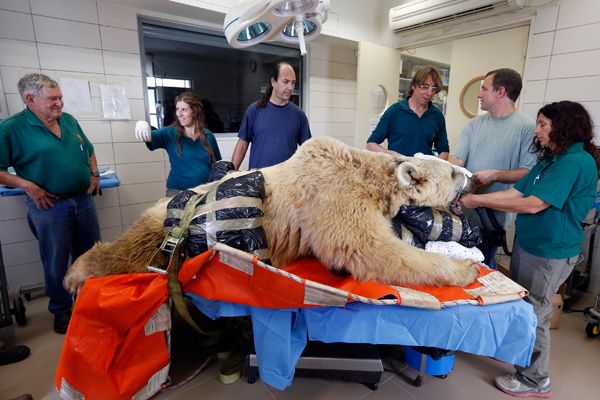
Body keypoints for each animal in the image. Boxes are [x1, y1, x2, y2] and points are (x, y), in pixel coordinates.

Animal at [64, 137, 478, 290]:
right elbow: (366, 248)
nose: (471, 176)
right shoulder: (333, 194)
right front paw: (465, 268)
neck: (366, 173)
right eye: (452, 172)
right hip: (166, 222)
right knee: (133, 248)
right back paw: (77, 272)